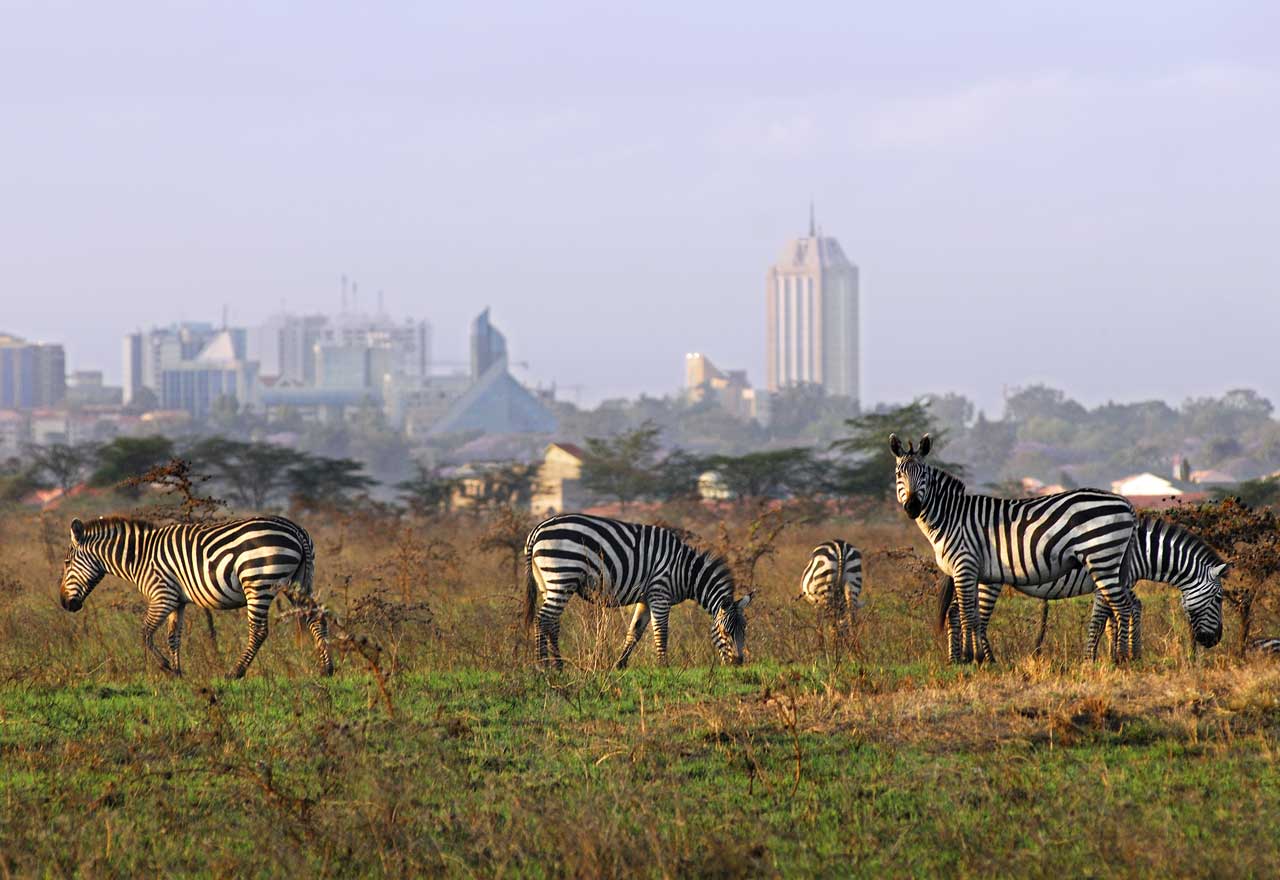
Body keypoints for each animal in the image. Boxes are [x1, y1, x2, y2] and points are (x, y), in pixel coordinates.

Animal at [59, 516, 330, 680]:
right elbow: (173, 636)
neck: (139, 557)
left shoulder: (162, 595)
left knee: (259, 631)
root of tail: (296, 529)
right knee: (316, 617)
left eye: (67, 563)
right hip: (296, 582)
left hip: (258, 581)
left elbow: (145, 633)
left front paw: (166, 667)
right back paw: (326, 668)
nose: (64, 604)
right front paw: (178, 672)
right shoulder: (177, 601)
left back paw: (235, 672)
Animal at [524, 511, 752, 670]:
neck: (685, 571)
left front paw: (620, 664)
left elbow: (635, 631)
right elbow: (661, 631)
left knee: (552, 622)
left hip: (548, 583)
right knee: (543, 619)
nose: (738, 662)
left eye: (744, 630)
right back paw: (542, 665)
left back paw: (558, 665)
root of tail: (537, 530)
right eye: (725, 631)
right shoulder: (660, 593)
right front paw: (663, 666)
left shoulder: (645, 599)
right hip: (562, 575)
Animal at [890, 432, 1141, 660]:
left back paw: (1122, 659)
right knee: (1124, 606)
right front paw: (977, 658)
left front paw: (970, 658)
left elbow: (967, 615)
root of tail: (1125, 502)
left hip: (1102, 558)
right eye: (899, 474)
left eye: (924, 475)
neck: (951, 517)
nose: (912, 507)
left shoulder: (965, 566)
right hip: (1111, 563)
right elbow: (973, 616)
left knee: (1123, 607)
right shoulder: (975, 572)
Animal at [942, 516, 1228, 660]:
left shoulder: (1121, 583)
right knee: (975, 617)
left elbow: (1123, 613)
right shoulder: (1110, 582)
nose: (1214, 640)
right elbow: (1102, 620)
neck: (1142, 550)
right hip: (988, 581)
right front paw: (1095, 658)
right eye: (1219, 599)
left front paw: (1125, 655)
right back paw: (985, 660)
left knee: (955, 612)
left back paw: (956, 659)